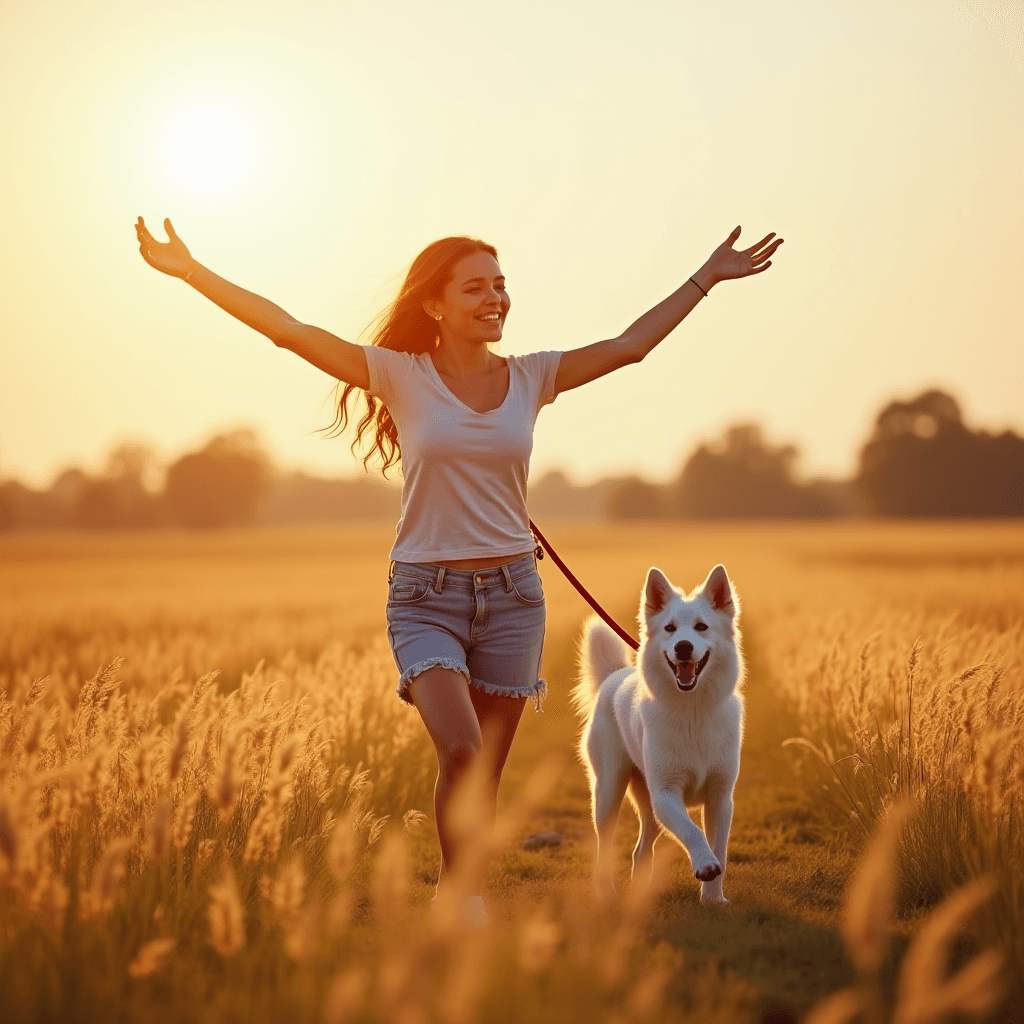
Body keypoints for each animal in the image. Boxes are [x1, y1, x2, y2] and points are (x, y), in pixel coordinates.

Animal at [569, 569, 745, 905]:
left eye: (702, 627)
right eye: (670, 628)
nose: (683, 647)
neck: (692, 713)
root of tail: (614, 675)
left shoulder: (721, 798)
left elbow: (720, 849)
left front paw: (713, 899)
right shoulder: (666, 794)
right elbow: (693, 831)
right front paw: (705, 865)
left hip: (648, 808)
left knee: (640, 852)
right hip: (609, 793)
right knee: (604, 851)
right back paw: (607, 894)